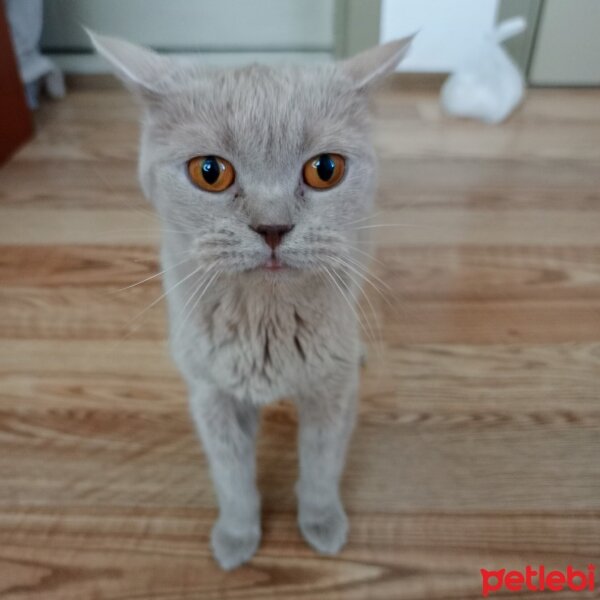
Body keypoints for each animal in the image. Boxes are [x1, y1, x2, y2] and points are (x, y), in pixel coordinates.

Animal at [89, 28, 414, 568]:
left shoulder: (331, 391)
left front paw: (321, 523)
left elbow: (322, 463)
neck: (267, 324)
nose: (273, 226)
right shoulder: (211, 393)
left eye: (326, 169)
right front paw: (238, 536)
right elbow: (231, 474)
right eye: (209, 171)